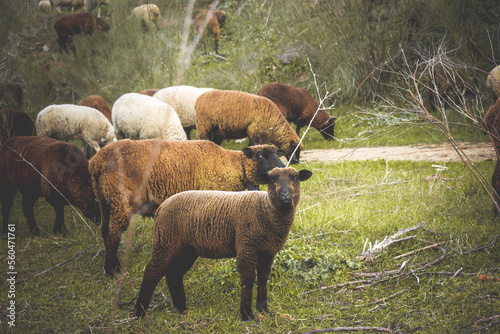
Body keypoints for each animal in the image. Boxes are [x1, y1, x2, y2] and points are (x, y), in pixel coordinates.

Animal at [89, 139, 286, 276]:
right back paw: (114, 271)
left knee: (104, 230)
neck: (230, 165)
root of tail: (96, 162)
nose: (284, 168)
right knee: (113, 234)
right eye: (260, 155)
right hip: (120, 201)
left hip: (105, 200)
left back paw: (110, 267)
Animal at [135, 167, 310, 320]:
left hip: (187, 248)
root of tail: (161, 207)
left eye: (295, 178)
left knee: (174, 274)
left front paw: (263, 309)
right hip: (166, 239)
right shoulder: (246, 246)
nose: (285, 195)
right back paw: (140, 313)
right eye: (272, 180)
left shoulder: (268, 251)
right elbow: (248, 279)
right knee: (152, 270)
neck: (266, 209)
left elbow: (263, 277)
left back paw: (182, 308)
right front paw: (247, 314)